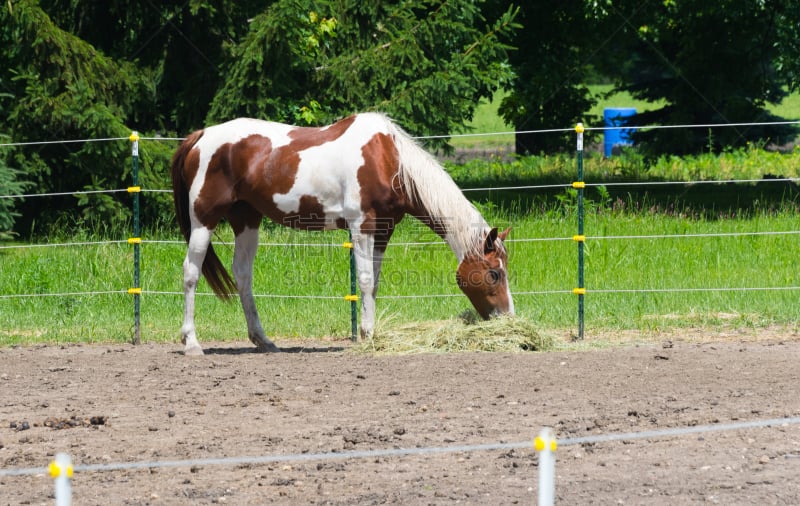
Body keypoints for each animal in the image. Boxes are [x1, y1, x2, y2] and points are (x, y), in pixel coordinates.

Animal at [172, 112, 516, 354]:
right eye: (494, 273)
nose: (508, 317)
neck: (388, 161)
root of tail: (199, 137)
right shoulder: (362, 225)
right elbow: (363, 281)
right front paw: (367, 335)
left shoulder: (383, 230)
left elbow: (374, 284)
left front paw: (370, 333)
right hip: (204, 220)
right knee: (190, 272)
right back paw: (192, 343)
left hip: (247, 219)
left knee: (242, 274)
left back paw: (263, 340)